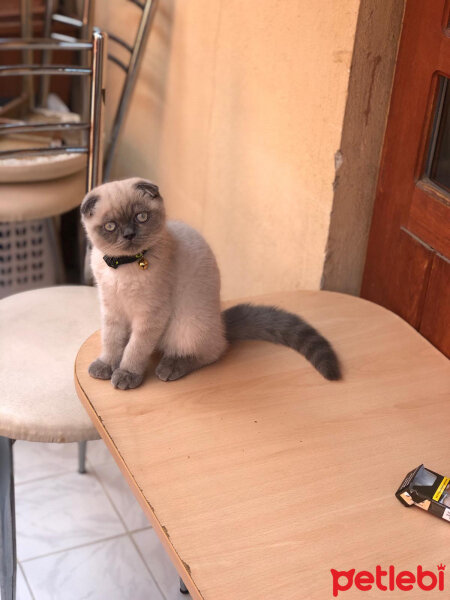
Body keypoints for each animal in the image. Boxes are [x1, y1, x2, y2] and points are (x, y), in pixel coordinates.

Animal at [81, 176, 342, 392]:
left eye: (141, 217)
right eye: (111, 226)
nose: (129, 235)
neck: (122, 266)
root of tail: (222, 323)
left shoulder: (150, 314)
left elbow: (135, 348)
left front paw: (126, 374)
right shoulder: (111, 309)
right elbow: (112, 341)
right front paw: (105, 366)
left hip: (186, 325)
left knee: (212, 351)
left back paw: (170, 367)